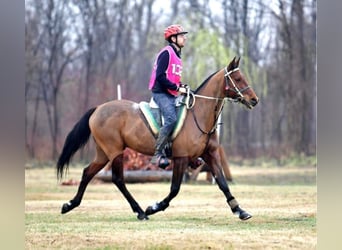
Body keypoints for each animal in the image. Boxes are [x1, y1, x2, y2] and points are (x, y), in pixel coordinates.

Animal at [56, 56, 260, 221]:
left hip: (104, 153)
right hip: (115, 151)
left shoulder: (211, 155)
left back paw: (69, 205)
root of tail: (98, 109)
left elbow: (223, 183)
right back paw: (140, 212)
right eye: (238, 79)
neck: (200, 114)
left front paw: (240, 210)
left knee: (87, 172)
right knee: (118, 179)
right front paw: (154, 207)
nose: (254, 100)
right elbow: (175, 189)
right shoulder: (181, 158)